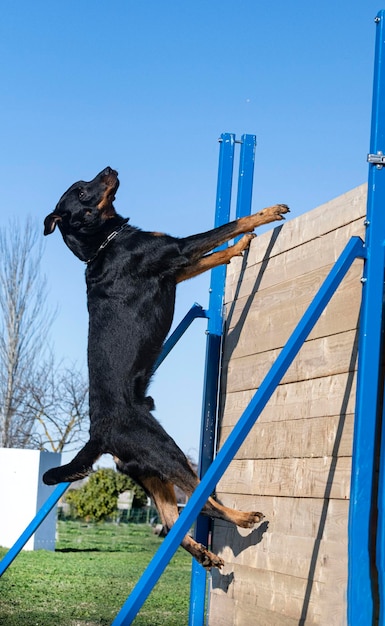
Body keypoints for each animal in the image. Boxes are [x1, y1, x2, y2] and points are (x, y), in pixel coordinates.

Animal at [42, 166, 288, 564]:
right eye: (80, 191)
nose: (109, 168)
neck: (104, 243)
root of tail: (99, 434)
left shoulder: (177, 267)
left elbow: (215, 253)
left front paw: (238, 248)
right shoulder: (176, 251)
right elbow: (225, 228)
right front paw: (266, 215)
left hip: (149, 470)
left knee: (172, 519)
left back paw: (205, 554)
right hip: (166, 452)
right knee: (203, 502)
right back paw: (244, 517)